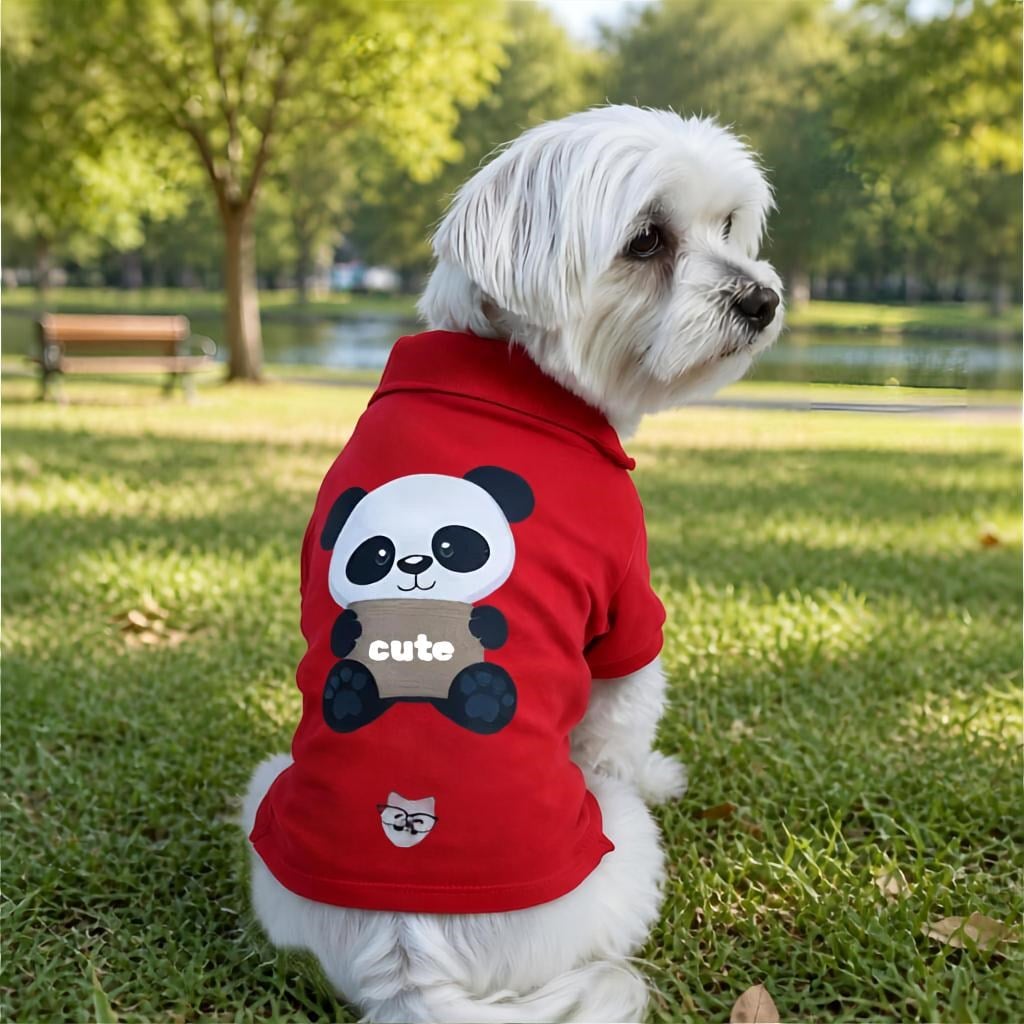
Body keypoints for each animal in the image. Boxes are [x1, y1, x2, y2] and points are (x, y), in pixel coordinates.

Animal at [318, 466, 534, 735]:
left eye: (447, 546)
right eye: (381, 554)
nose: (414, 564)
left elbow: (495, 630)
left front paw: (481, 623)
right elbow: (340, 638)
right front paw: (352, 626)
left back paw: (484, 695)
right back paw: (347, 693)